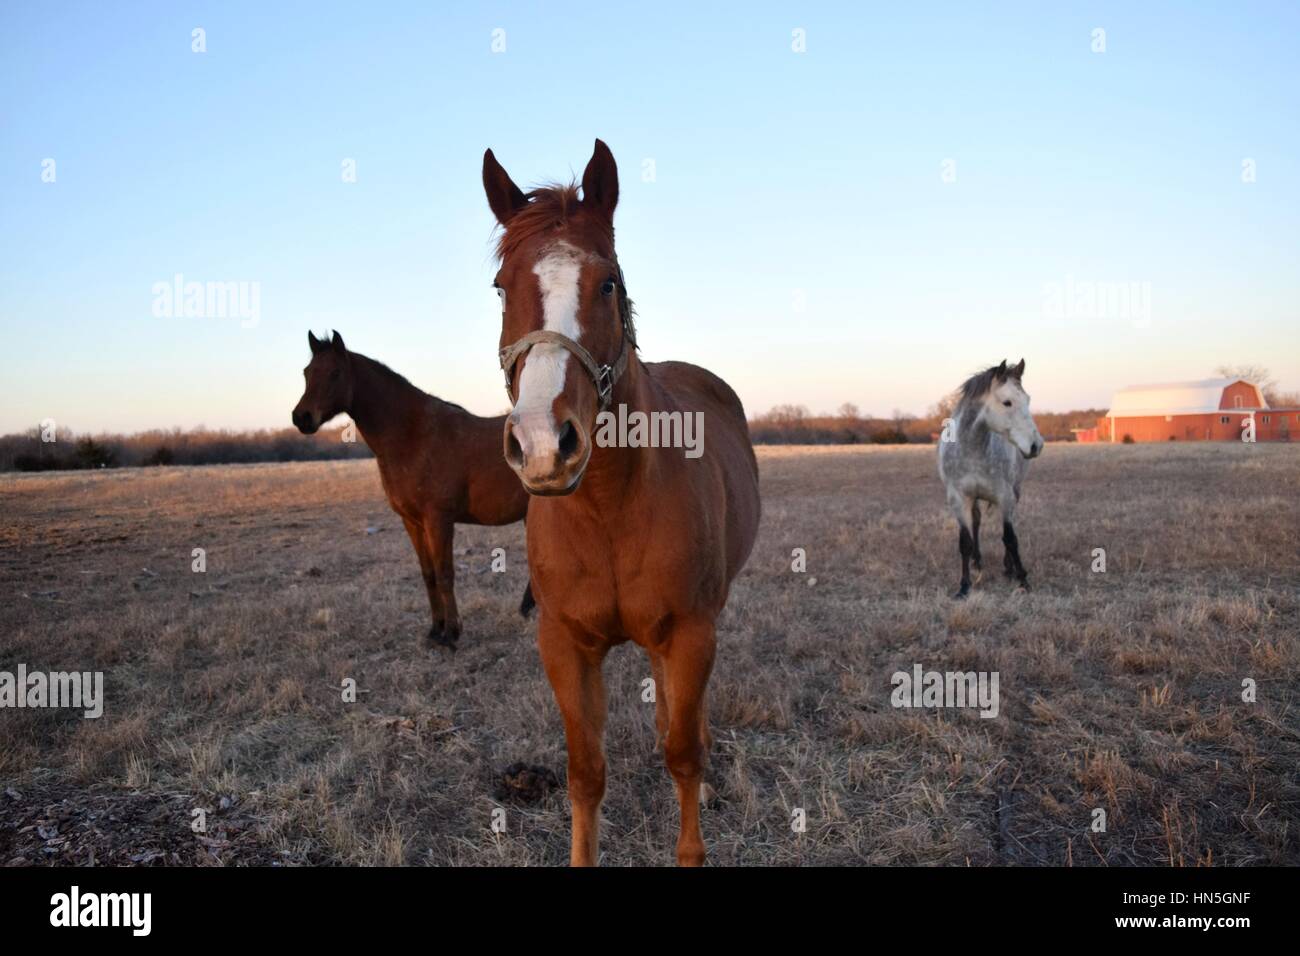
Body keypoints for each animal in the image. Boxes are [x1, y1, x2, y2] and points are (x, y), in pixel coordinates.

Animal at [292, 330, 533, 647]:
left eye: (335, 373)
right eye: (307, 372)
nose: (301, 418)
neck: (412, 436)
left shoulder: (438, 519)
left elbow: (444, 573)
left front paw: (451, 634)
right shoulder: (412, 521)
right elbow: (428, 574)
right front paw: (435, 630)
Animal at [482, 139, 761, 866]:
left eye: (607, 282)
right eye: (501, 288)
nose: (543, 443)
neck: (609, 507)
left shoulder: (691, 632)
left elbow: (683, 754)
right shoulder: (565, 644)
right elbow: (586, 772)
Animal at [937, 359, 1044, 599]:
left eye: (1028, 400)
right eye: (1007, 402)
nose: (1036, 445)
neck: (972, 450)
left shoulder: (1005, 497)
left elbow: (1010, 538)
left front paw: (1023, 580)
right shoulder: (958, 499)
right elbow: (965, 541)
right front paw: (964, 586)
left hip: (1015, 491)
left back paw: (1008, 567)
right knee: (976, 521)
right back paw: (977, 563)